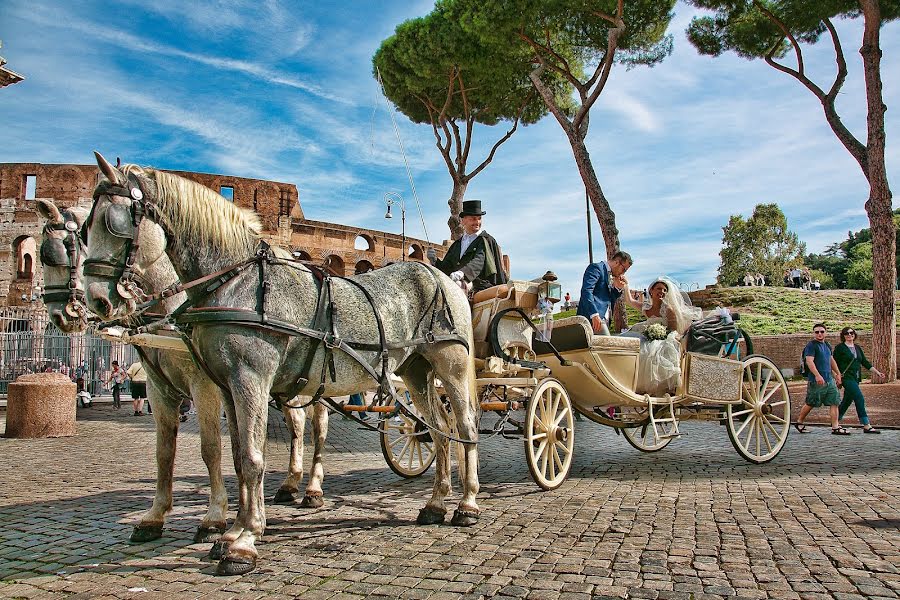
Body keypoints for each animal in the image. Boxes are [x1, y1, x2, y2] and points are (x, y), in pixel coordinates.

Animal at [37, 199, 330, 548]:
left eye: (63, 252)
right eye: (43, 257)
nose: (60, 316)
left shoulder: (204, 385)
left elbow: (211, 448)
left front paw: (214, 518)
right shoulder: (157, 387)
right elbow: (167, 452)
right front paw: (155, 516)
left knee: (318, 426)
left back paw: (313, 488)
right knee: (297, 424)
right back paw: (289, 484)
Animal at [81, 155, 482, 576]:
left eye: (114, 223)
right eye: (85, 227)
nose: (95, 301)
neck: (234, 280)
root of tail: (444, 278)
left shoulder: (248, 379)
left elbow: (251, 458)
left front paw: (243, 541)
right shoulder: (224, 386)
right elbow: (235, 455)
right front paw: (232, 531)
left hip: (452, 363)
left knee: (464, 425)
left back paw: (467, 504)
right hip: (415, 368)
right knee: (436, 429)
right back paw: (435, 504)